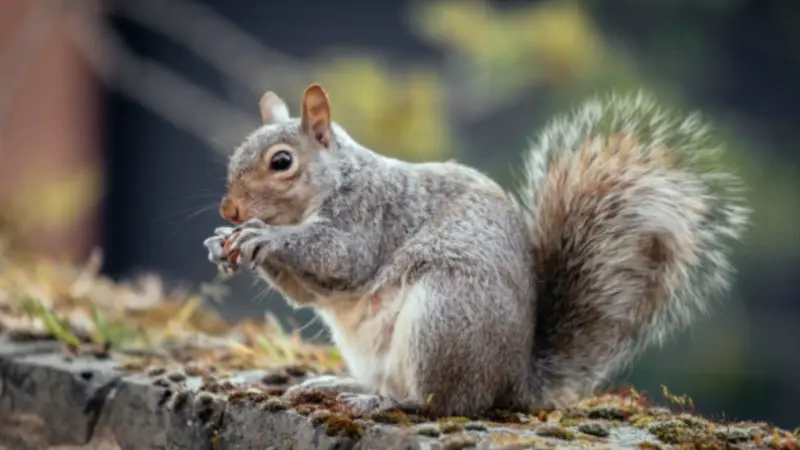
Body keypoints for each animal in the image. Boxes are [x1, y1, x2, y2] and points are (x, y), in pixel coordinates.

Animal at [203, 83, 750, 418]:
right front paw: (219, 243)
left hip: (444, 317)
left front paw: (264, 237)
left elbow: (338, 257)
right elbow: (305, 292)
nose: (230, 209)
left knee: (441, 403)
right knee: (396, 386)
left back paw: (389, 405)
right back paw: (344, 388)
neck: (336, 181)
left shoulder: (370, 216)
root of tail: (512, 383)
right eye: (235, 156)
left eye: (281, 162)